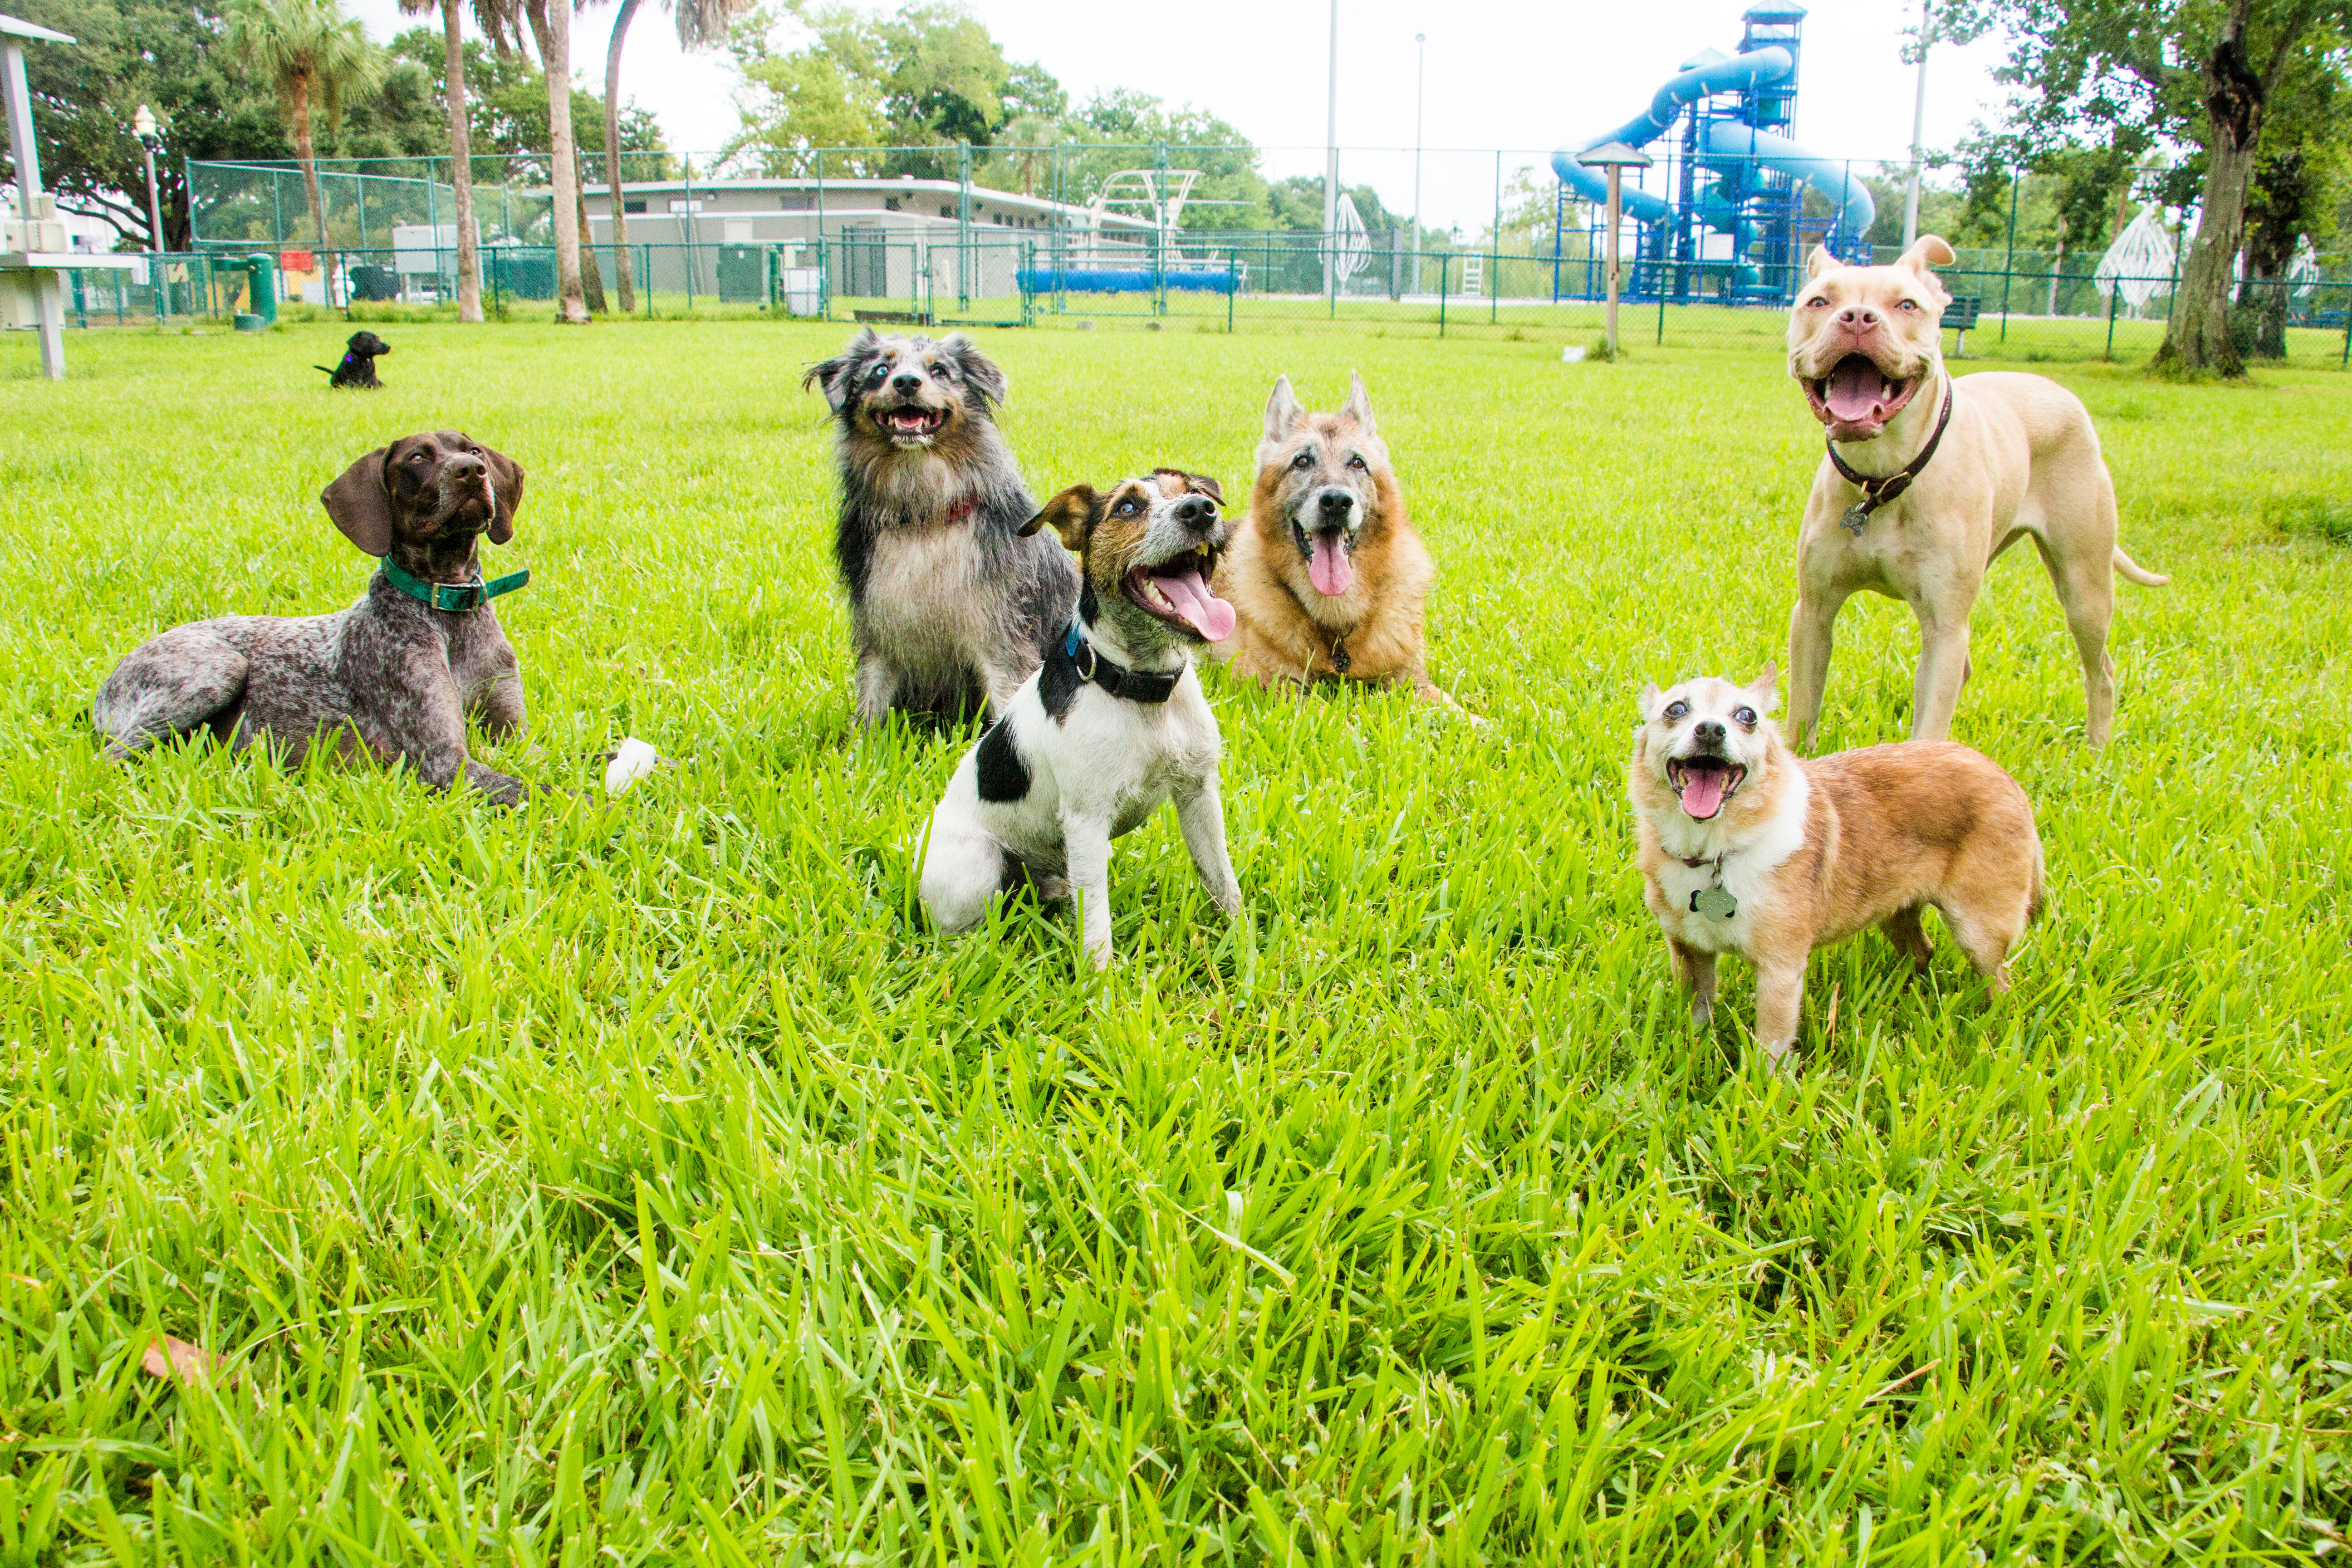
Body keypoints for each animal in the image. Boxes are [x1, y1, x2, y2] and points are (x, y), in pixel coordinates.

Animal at [799, 329, 1077, 729]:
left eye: (940, 370)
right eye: (881, 369)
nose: (906, 382)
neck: (923, 513)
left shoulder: (1003, 637)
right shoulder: (878, 633)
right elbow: (870, 706)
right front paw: (860, 745)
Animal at [917, 465, 1251, 968]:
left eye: (1192, 492)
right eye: (1127, 508)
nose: (1200, 510)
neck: (1142, 688)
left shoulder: (1199, 793)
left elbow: (1222, 880)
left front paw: (1246, 948)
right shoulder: (1086, 822)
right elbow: (1096, 923)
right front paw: (1099, 983)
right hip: (980, 863)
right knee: (958, 934)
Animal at [1213, 373, 1467, 710]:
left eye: (1357, 463)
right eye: (1302, 461)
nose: (1336, 501)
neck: (1337, 623)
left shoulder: (1413, 683)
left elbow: (1454, 709)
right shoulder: (1282, 689)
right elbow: (1337, 714)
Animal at [1627, 667, 2051, 1062]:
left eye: (1747, 716)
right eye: (1676, 710)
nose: (1712, 730)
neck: (1716, 849)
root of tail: (2009, 781)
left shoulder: (1780, 971)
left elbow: (1770, 1048)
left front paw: (1761, 1088)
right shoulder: (1689, 952)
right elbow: (1697, 1017)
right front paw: (1691, 1052)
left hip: (1978, 932)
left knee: (2000, 983)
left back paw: (1997, 1029)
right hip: (1894, 911)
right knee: (1922, 950)